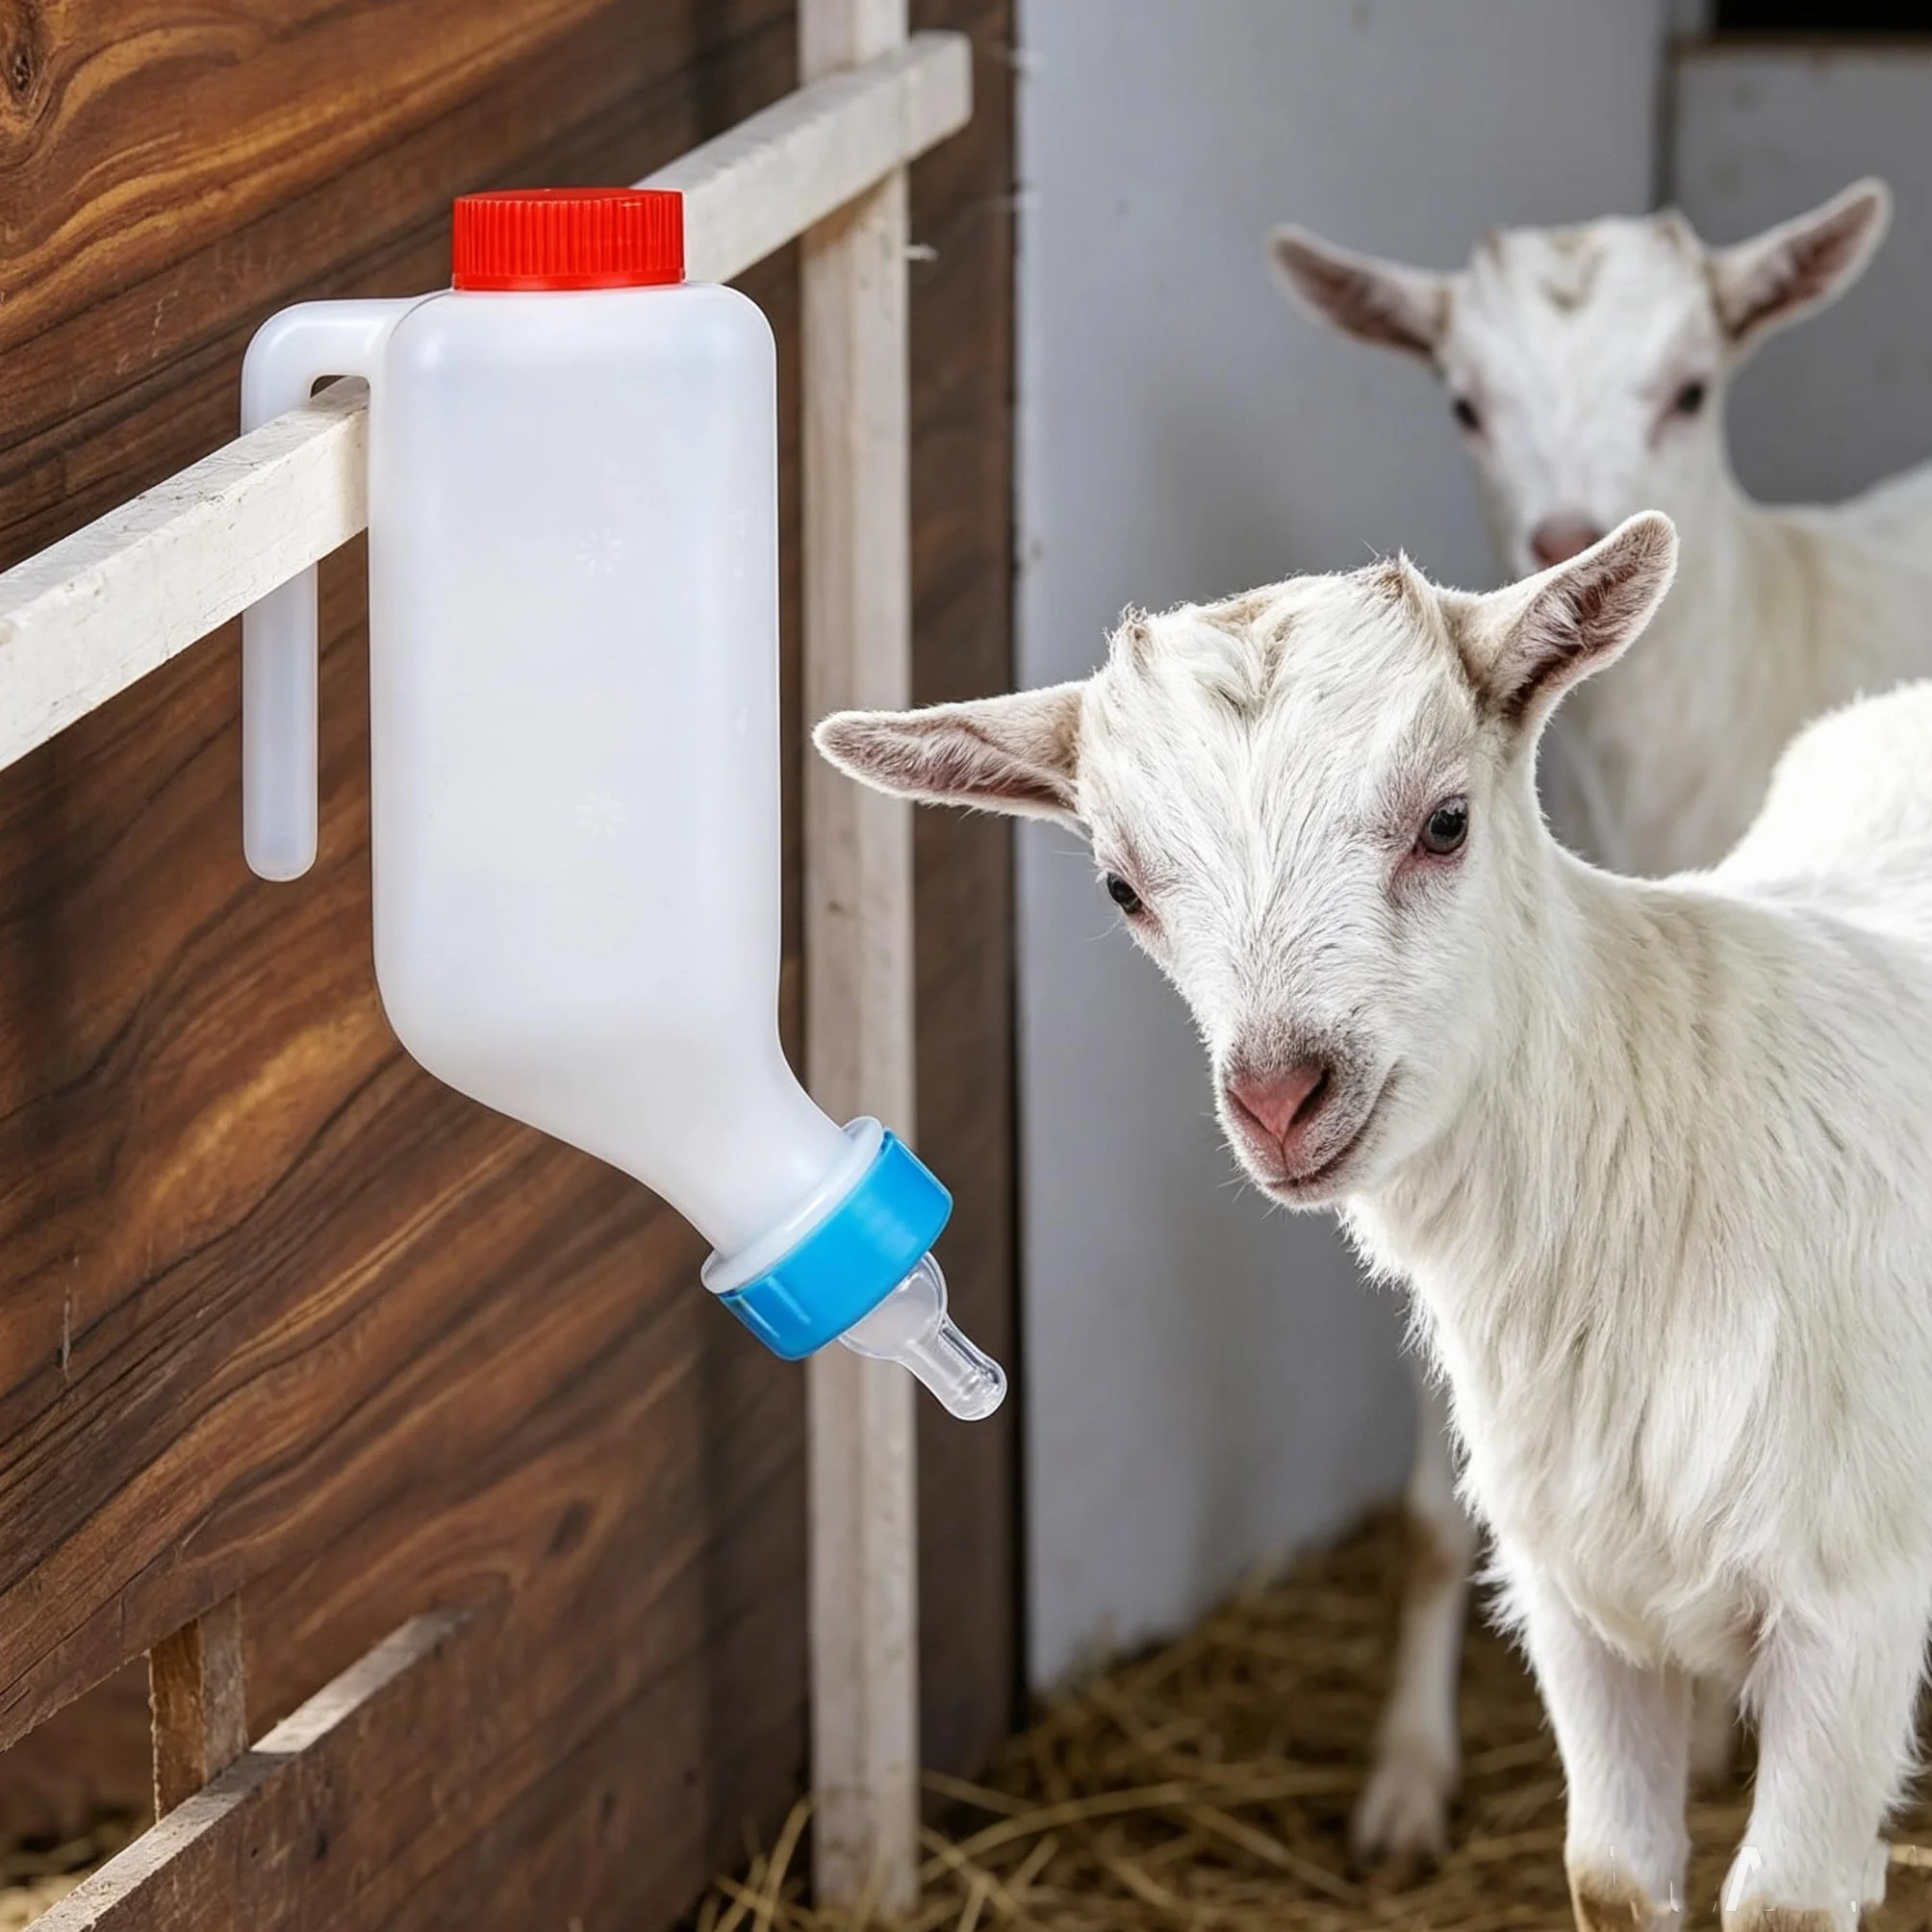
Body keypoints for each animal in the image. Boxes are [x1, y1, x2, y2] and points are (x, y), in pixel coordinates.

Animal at [817, 514, 1932, 1932]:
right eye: (1123, 886)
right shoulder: (1579, 1608)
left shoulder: (1853, 1612)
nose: (1279, 1096)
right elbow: (1610, 1876)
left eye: (1446, 822)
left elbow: (1784, 1898)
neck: (1656, 1150)